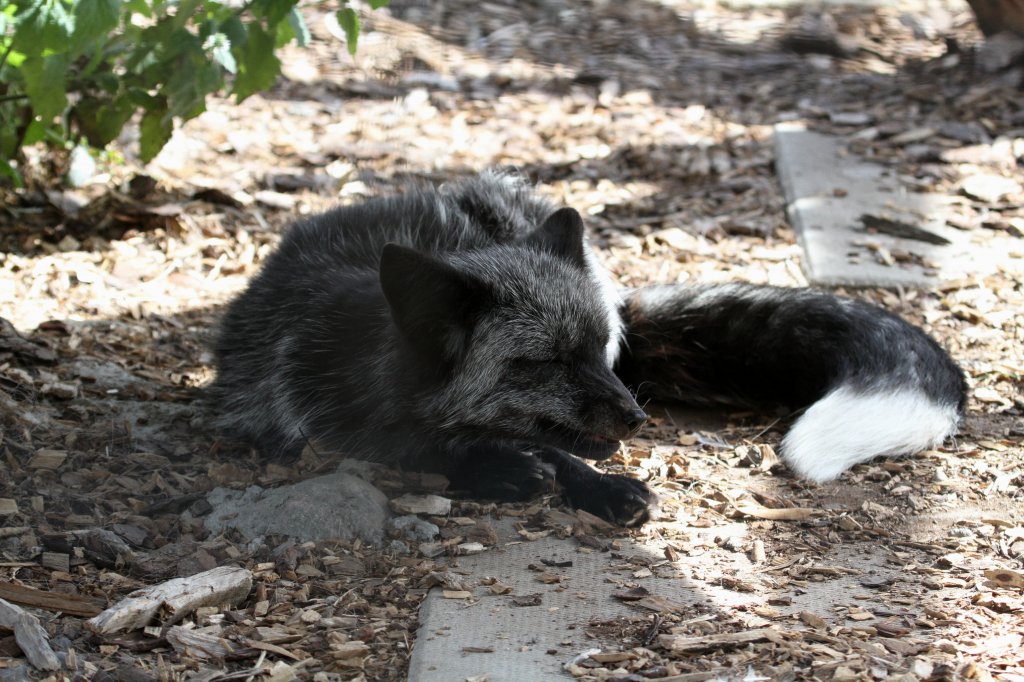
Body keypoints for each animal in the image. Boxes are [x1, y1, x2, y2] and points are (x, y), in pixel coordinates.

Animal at [211, 171, 962, 524]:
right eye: (544, 363)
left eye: (598, 350)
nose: (636, 417)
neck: (359, 352)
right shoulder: (305, 417)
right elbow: (419, 445)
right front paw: (499, 468)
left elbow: (558, 452)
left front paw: (597, 486)